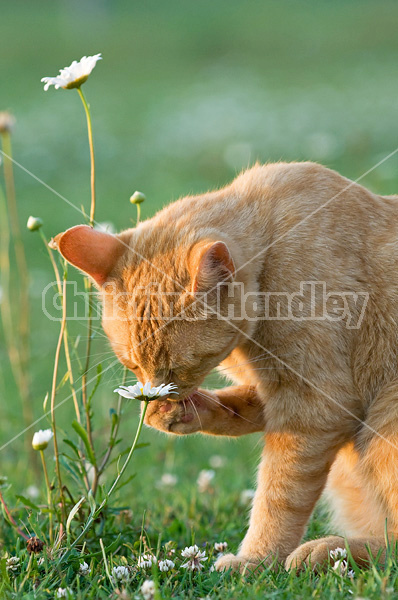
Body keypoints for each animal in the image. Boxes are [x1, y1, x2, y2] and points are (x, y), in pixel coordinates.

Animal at [52, 162, 398, 576]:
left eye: (179, 366)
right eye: (132, 364)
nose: (155, 391)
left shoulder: (315, 408)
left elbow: (278, 496)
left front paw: (257, 558)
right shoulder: (273, 396)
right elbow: (233, 410)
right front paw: (177, 413)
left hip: (387, 417)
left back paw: (330, 551)